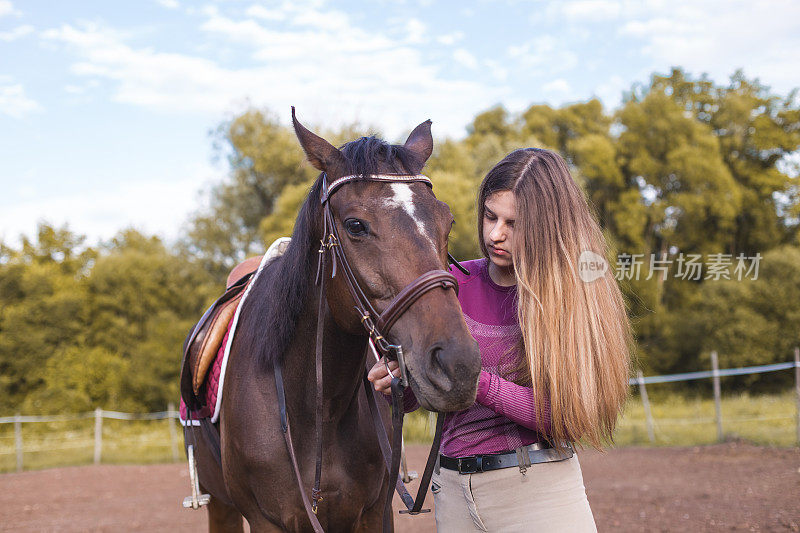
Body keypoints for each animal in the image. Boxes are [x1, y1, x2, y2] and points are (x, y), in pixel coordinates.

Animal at [186, 110, 482, 528]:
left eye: (449, 221)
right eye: (356, 225)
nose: (458, 365)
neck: (316, 410)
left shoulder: (374, 513)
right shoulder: (265, 520)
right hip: (220, 505)